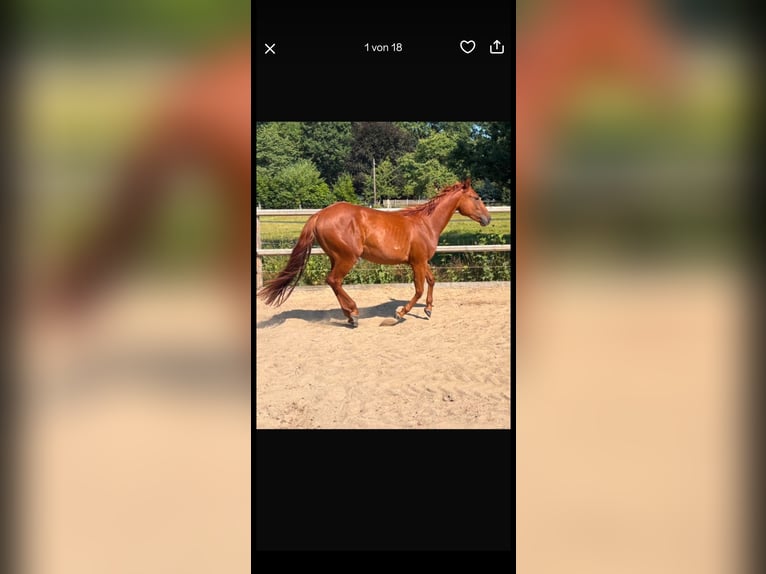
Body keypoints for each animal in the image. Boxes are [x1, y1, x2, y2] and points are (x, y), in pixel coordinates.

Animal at [257, 179, 491, 327]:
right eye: (476, 197)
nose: (487, 219)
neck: (425, 223)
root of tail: (319, 215)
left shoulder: (422, 261)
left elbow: (432, 281)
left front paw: (428, 310)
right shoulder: (417, 262)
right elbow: (418, 289)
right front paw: (398, 314)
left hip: (336, 257)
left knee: (333, 282)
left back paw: (350, 316)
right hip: (347, 258)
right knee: (334, 280)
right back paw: (354, 314)